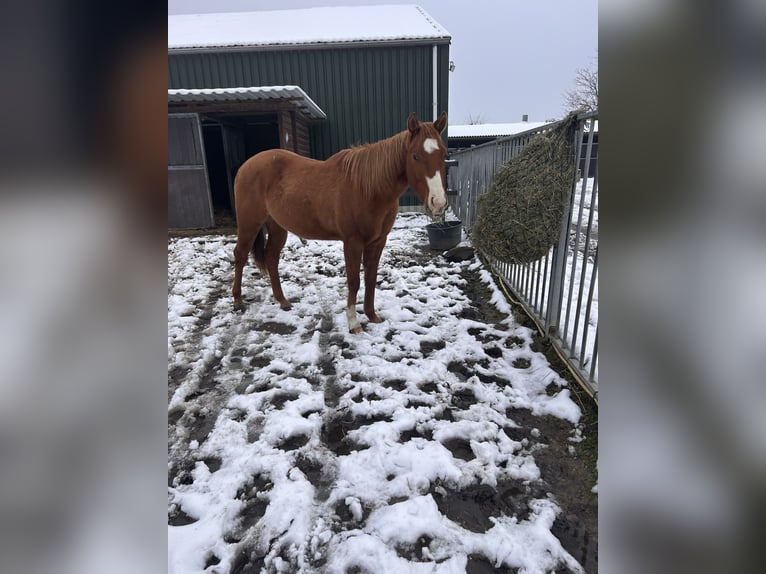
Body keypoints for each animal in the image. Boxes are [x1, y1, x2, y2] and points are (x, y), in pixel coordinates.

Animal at [232, 111, 450, 332]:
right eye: (415, 156)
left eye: (443, 154)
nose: (439, 202)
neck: (368, 189)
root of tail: (246, 166)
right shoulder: (352, 242)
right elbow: (354, 281)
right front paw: (354, 323)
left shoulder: (378, 241)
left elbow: (370, 278)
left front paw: (372, 316)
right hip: (249, 223)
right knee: (240, 255)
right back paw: (238, 301)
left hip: (277, 227)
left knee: (271, 257)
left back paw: (282, 301)